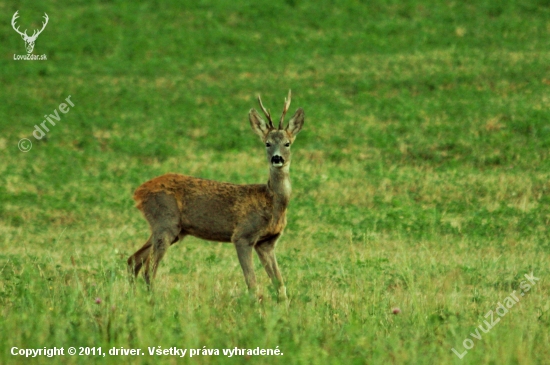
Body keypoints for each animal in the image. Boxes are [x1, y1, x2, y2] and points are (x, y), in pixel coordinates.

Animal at [127, 89, 304, 300]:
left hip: (170, 229)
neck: (271, 202)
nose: (277, 159)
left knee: (133, 260)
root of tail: (138, 192)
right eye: (267, 143)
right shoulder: (242, 235)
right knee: (148, 269)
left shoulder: (267, 242)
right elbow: (252, 284)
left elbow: (280, 285)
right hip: (165, 221)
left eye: (287, 143)